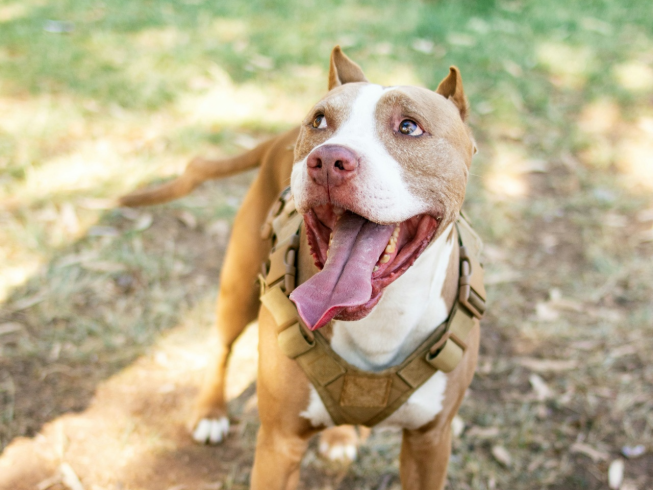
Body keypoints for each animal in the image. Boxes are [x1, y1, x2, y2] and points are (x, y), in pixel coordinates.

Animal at [119, 45, 482, 486]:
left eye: (409, 127)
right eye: (319, 120)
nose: (327, 159)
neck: (382, 317)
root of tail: (279, 138)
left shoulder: (430, 443)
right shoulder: (280, 443)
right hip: (239, 288)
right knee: (222, 344)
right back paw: (210, 412)